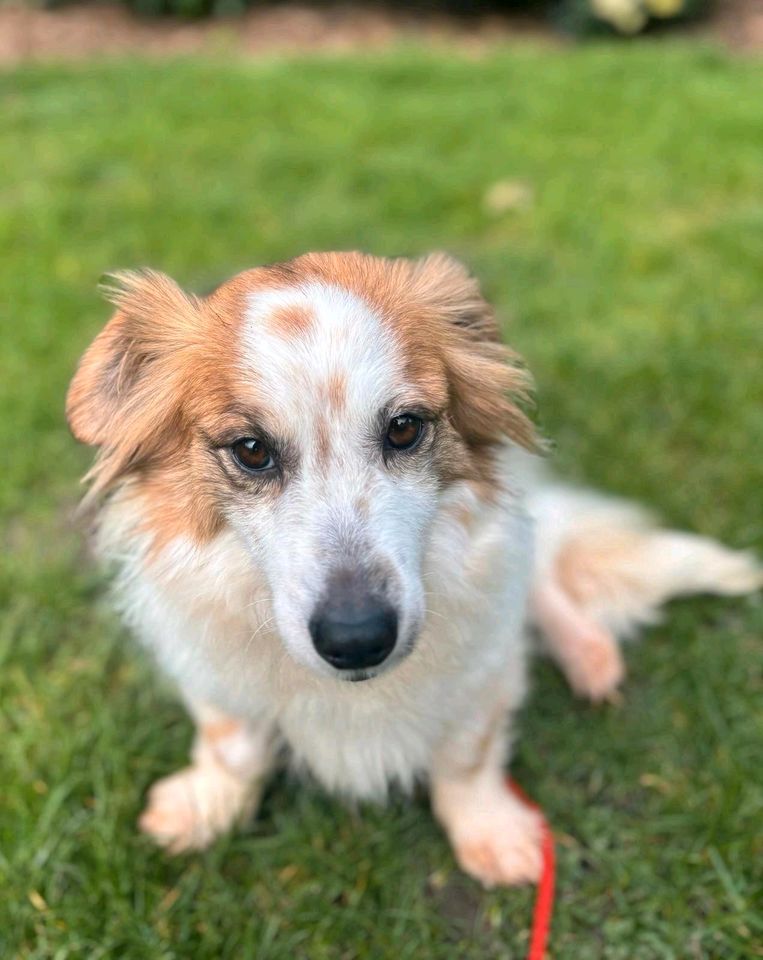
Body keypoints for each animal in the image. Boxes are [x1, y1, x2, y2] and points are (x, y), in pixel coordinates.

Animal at [67, 253, 763, 884]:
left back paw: (589, 657)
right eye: (252, 450)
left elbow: (466, 760)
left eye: (403, 429)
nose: (356, 639)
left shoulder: (482, 671)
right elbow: (230, 745)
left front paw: (492, 834)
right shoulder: (211, 672)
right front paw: (206, 807)